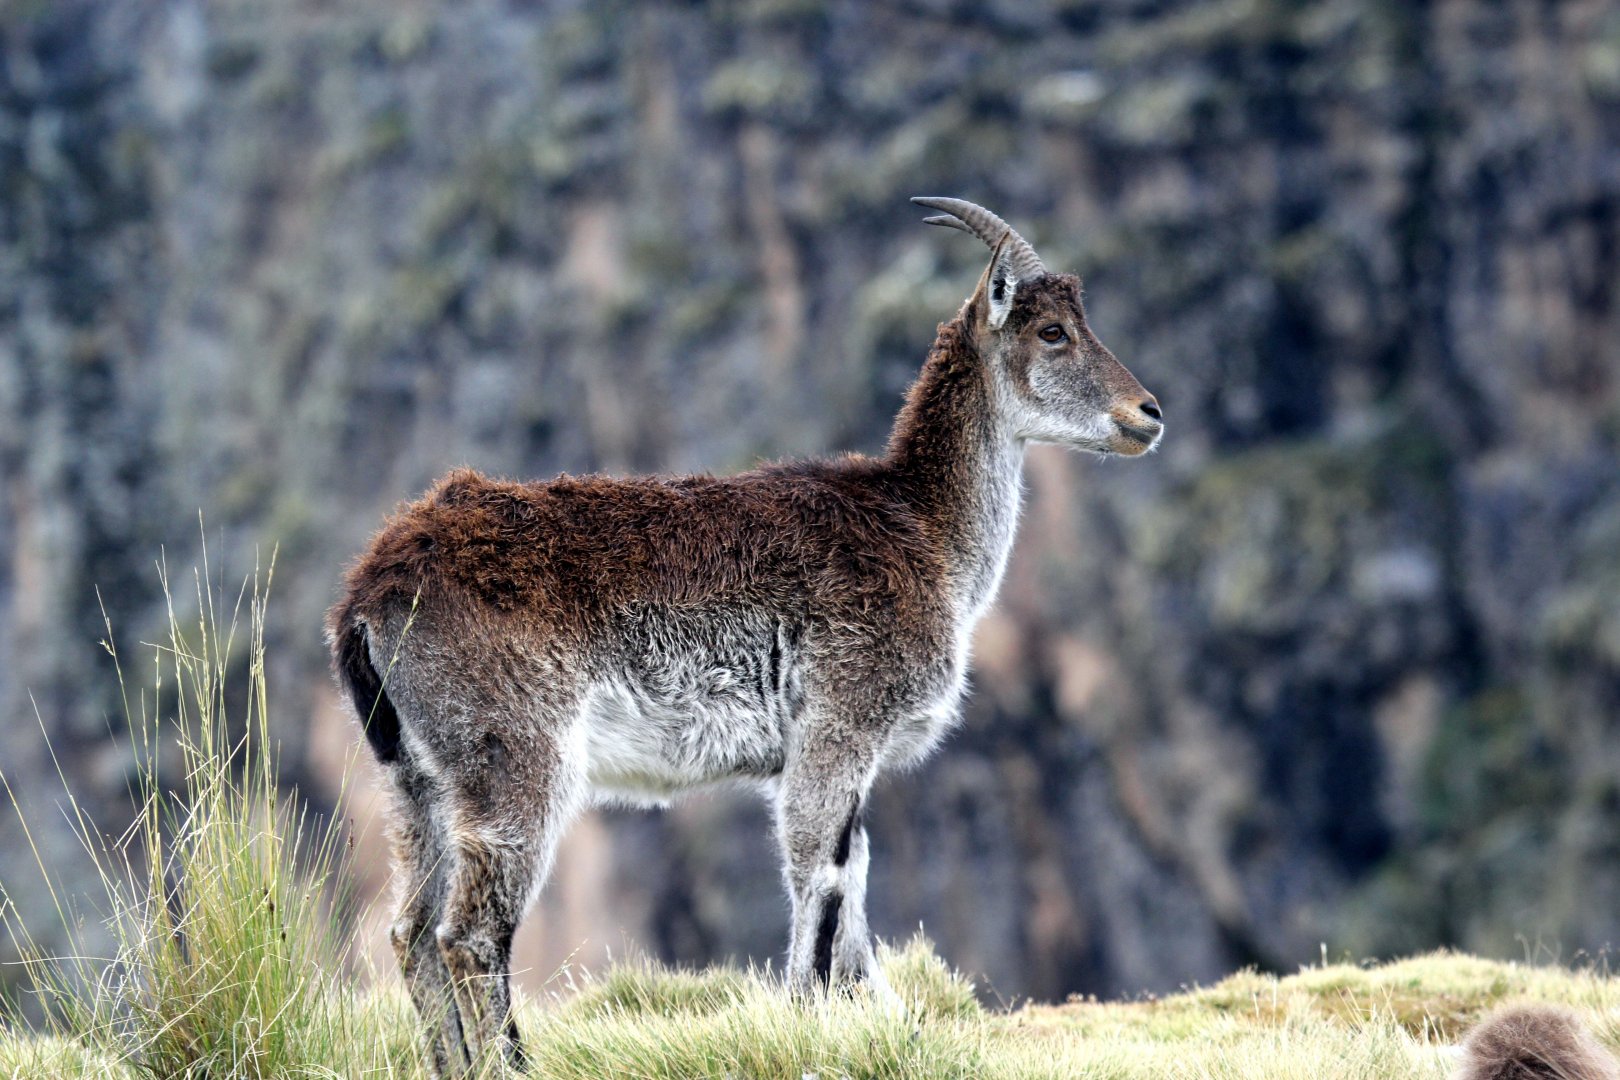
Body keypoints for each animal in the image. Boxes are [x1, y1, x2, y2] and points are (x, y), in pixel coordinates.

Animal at [327, 197, 1163, 1074]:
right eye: (1052, 331)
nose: (1147, 414)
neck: (924, 532)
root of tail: (368, 597)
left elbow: (851, 880)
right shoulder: (840, 724)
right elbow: (821, 877)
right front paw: (808, 1027)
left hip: (413, 780)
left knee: (410, 931)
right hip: (513, 758)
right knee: (469, 934)